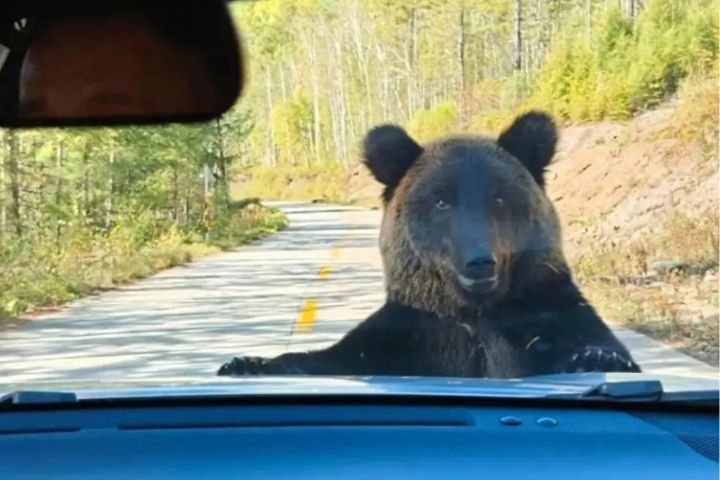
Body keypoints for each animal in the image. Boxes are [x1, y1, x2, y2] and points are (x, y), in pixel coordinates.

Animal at [217, 111, 640, 378]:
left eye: (499, 198)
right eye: (441, 201)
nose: (479, 261)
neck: (475, 312)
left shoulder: (545, 311)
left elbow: (591, 342)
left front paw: (597, 357)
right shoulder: (411, 335)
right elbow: (336, 358)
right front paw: (246, 362)